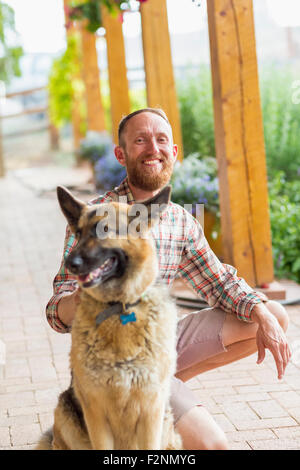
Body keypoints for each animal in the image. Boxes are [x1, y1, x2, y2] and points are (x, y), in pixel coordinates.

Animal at [36, 185, 182, 450]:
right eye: (78, 233)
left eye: (103, 230)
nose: (69, 263)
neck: (119, 308)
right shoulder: (96, 415)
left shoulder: (151, 412)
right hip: (65, 415)